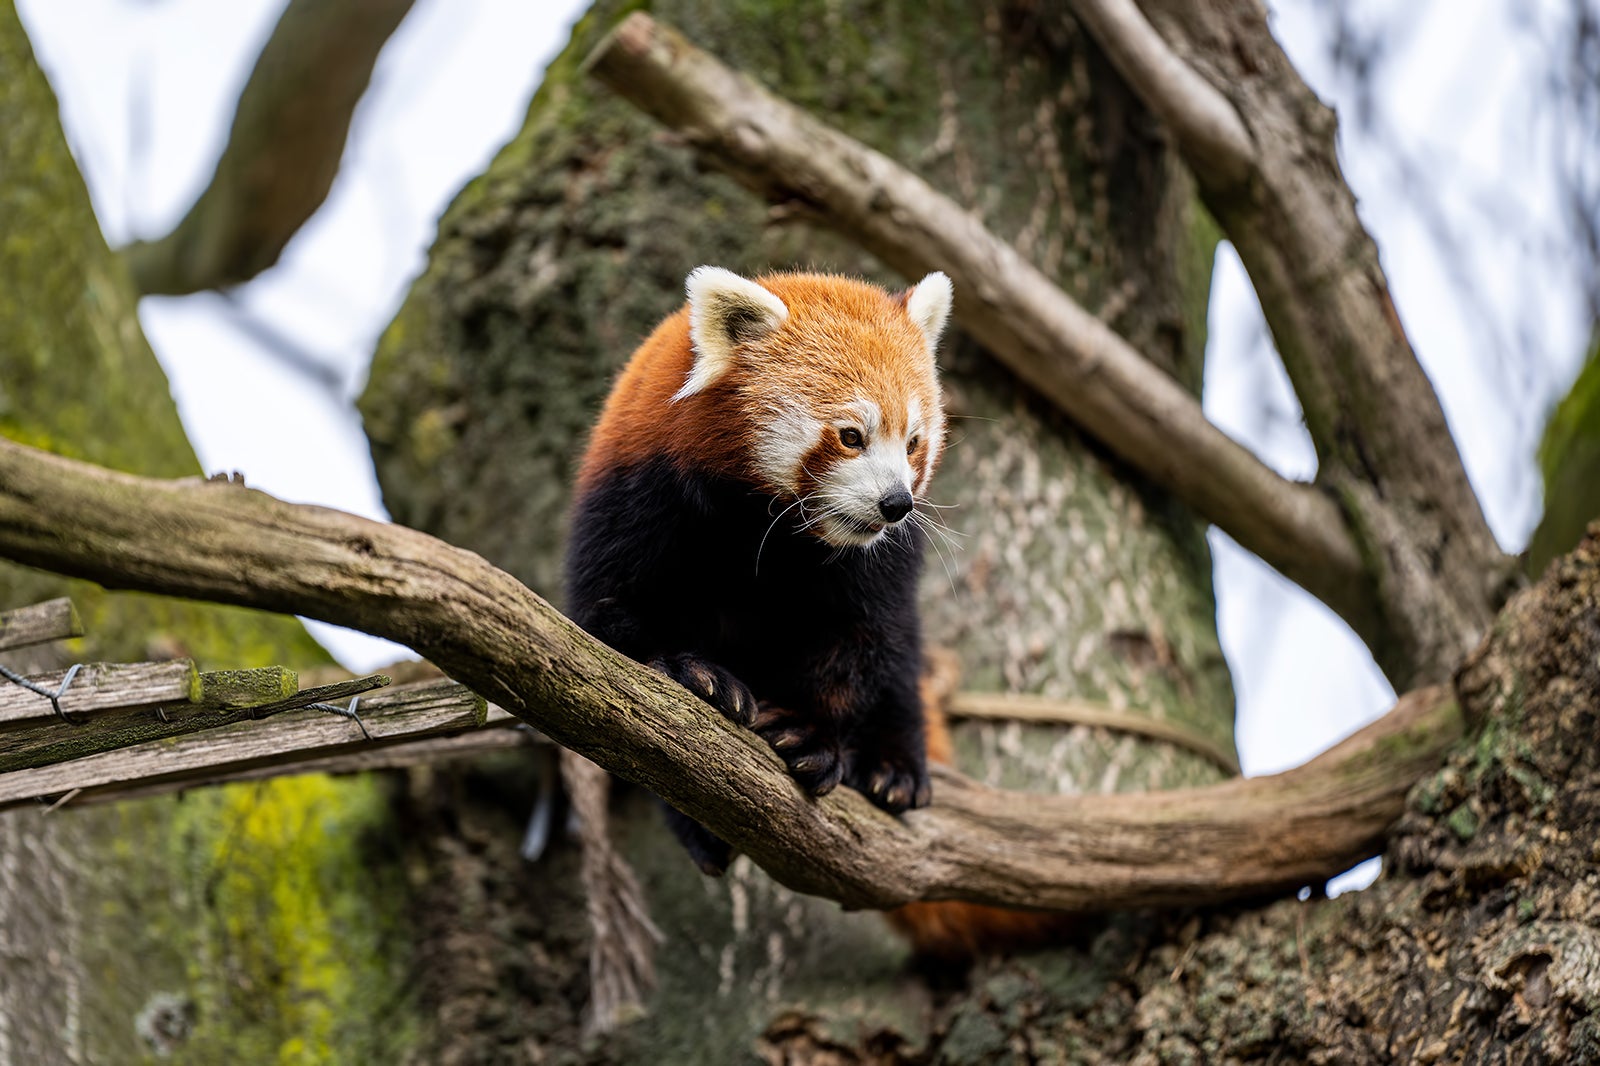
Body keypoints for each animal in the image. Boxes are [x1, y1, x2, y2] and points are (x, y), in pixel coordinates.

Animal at [566, 264, 1062, 953]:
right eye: (851, 436)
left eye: (914, 443)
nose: (897, 504)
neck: (767, 533)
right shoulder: (638, 497)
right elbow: (611, 624)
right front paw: (696, 673)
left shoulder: (875, 565)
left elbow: (862, 644)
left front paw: (809, 732)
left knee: (901, 662)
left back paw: (894, 766)